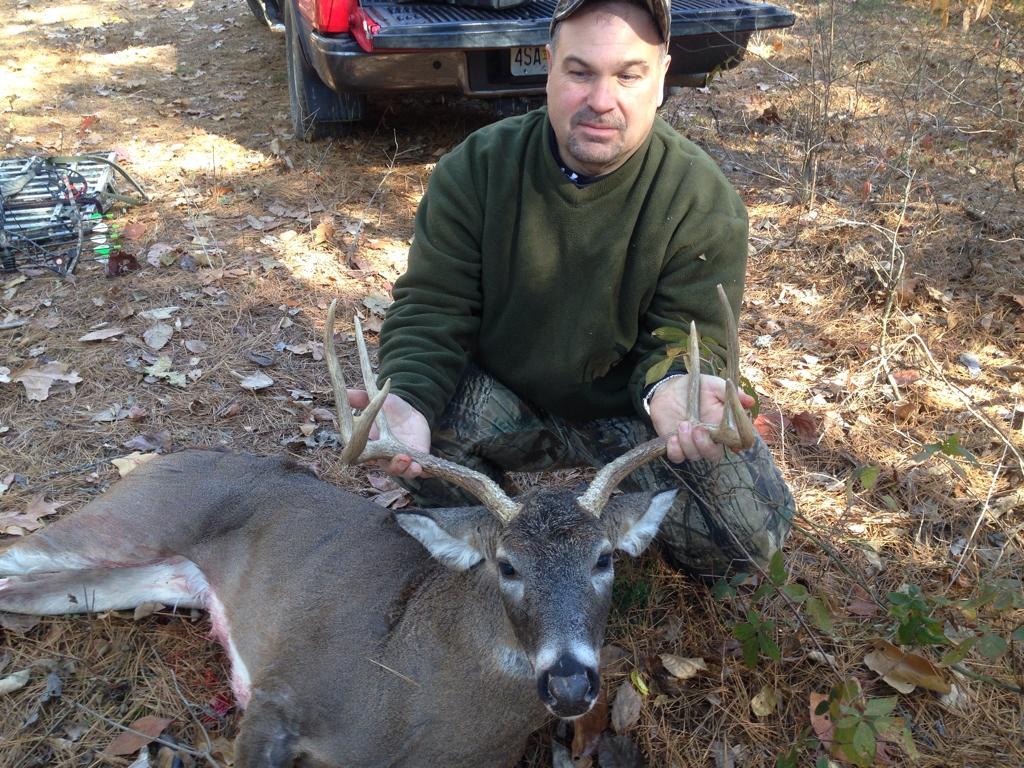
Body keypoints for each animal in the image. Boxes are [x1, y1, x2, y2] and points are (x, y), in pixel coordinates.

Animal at [0, 287, 754, 768]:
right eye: (505, 564)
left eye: (604, 559)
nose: (569, 685)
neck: (414, 705)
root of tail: (168, 454)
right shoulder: (278, 694)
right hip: (131, 521)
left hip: (132, 580)